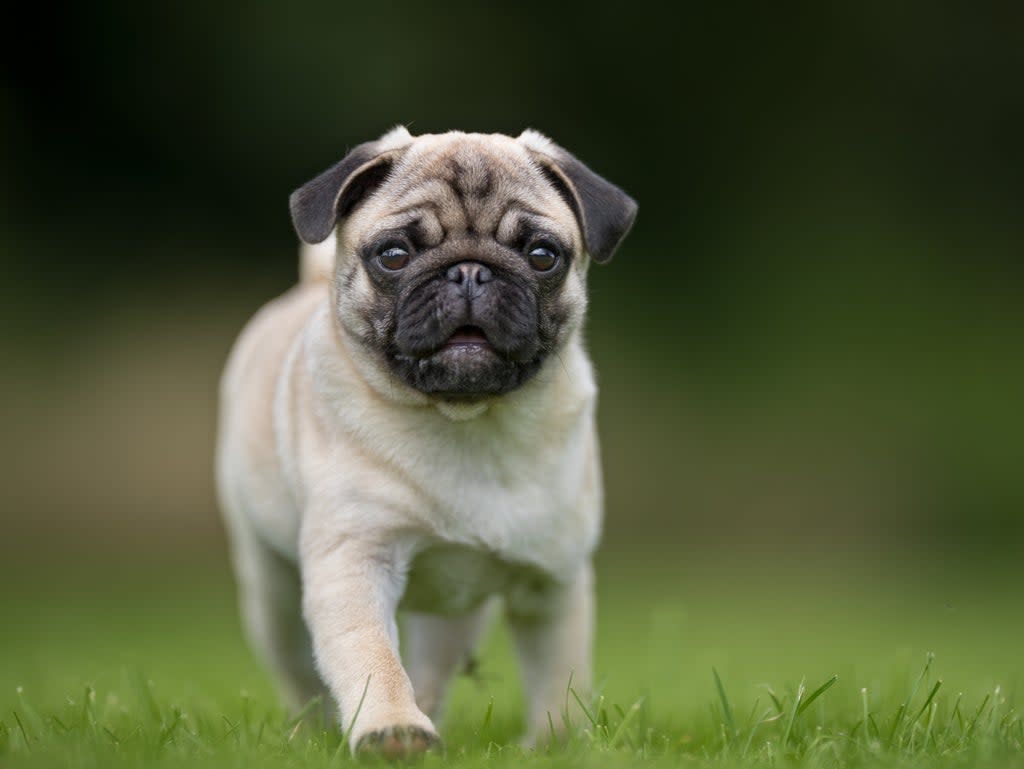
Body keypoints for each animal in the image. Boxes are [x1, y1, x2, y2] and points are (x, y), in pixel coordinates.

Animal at [215, 126, 630, 757]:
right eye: (394, 255)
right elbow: (372, 658)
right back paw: (313, 731)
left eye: (542, 256)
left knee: (435, 662)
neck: (466, 424)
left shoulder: (552, 583)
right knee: (300, 669)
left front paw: (557, 745)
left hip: (451, 614)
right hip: (271, 590)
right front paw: (392, 728)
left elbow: (560, 678)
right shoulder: (355, 562)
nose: (470, 273)